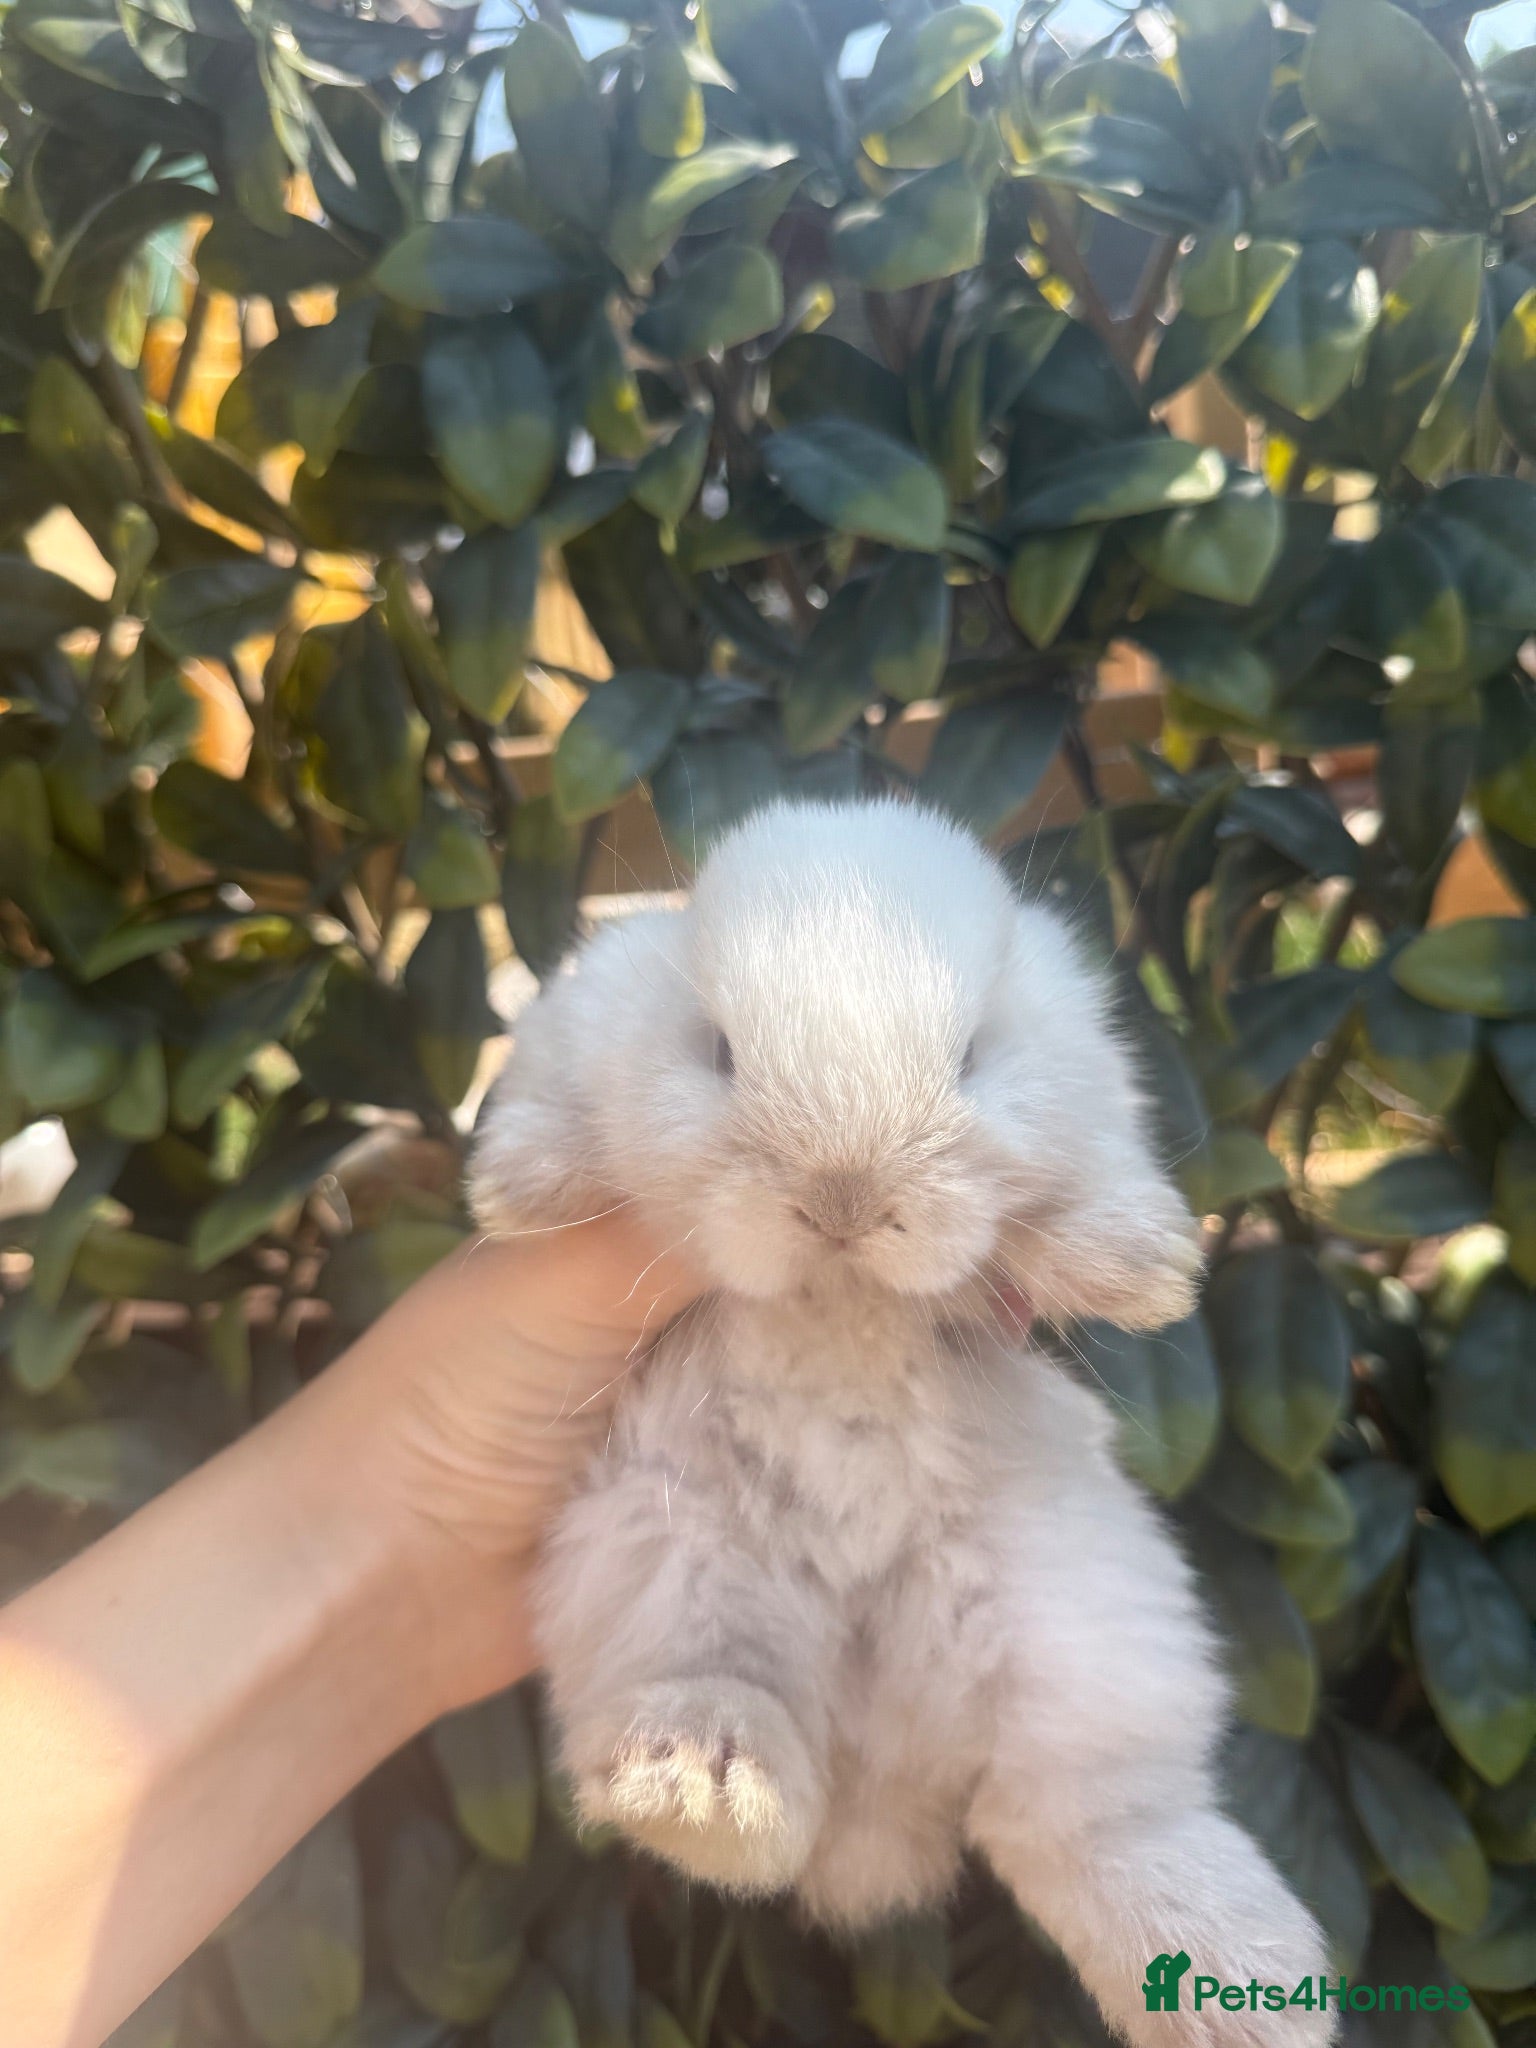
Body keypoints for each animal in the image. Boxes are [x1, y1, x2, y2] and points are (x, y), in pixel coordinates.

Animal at [471, 798, 1333, 2048]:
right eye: (717, 1050)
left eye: (972, 1056)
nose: (842, 1196)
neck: (842, 1298)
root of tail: (882, 1779)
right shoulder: (587, 1016)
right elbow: (549, 1090)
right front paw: (513, 1184)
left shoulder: (1088, 1087)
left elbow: (1093, 1175)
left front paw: (1151, 1267)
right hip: (666, 1564)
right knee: (735, 1726)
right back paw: (708, 1784)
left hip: (1082, 1624)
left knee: (1087, 1816)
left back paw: (1247, 1988)